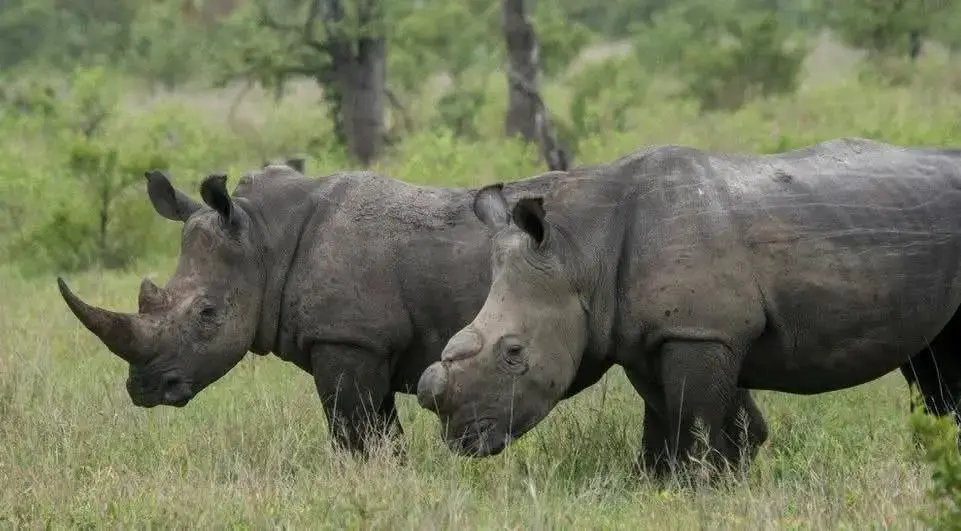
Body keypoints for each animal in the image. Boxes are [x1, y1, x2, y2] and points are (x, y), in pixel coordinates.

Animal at [57, 164, 769, 456]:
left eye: (207, 314)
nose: (145, 390)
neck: (262, 238)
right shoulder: (365, 344)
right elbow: (374, 426)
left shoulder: (348, 341)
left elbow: (354, 429)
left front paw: (367, 478)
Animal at [416, 138, 961, 478]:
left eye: (513, 353)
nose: (460, 438)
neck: (581, 251)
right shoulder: (651, 338)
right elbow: (670, 416)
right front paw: (659, 485)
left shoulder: (702, 332)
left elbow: (693, 417)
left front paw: (697, 487)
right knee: (931, 359)